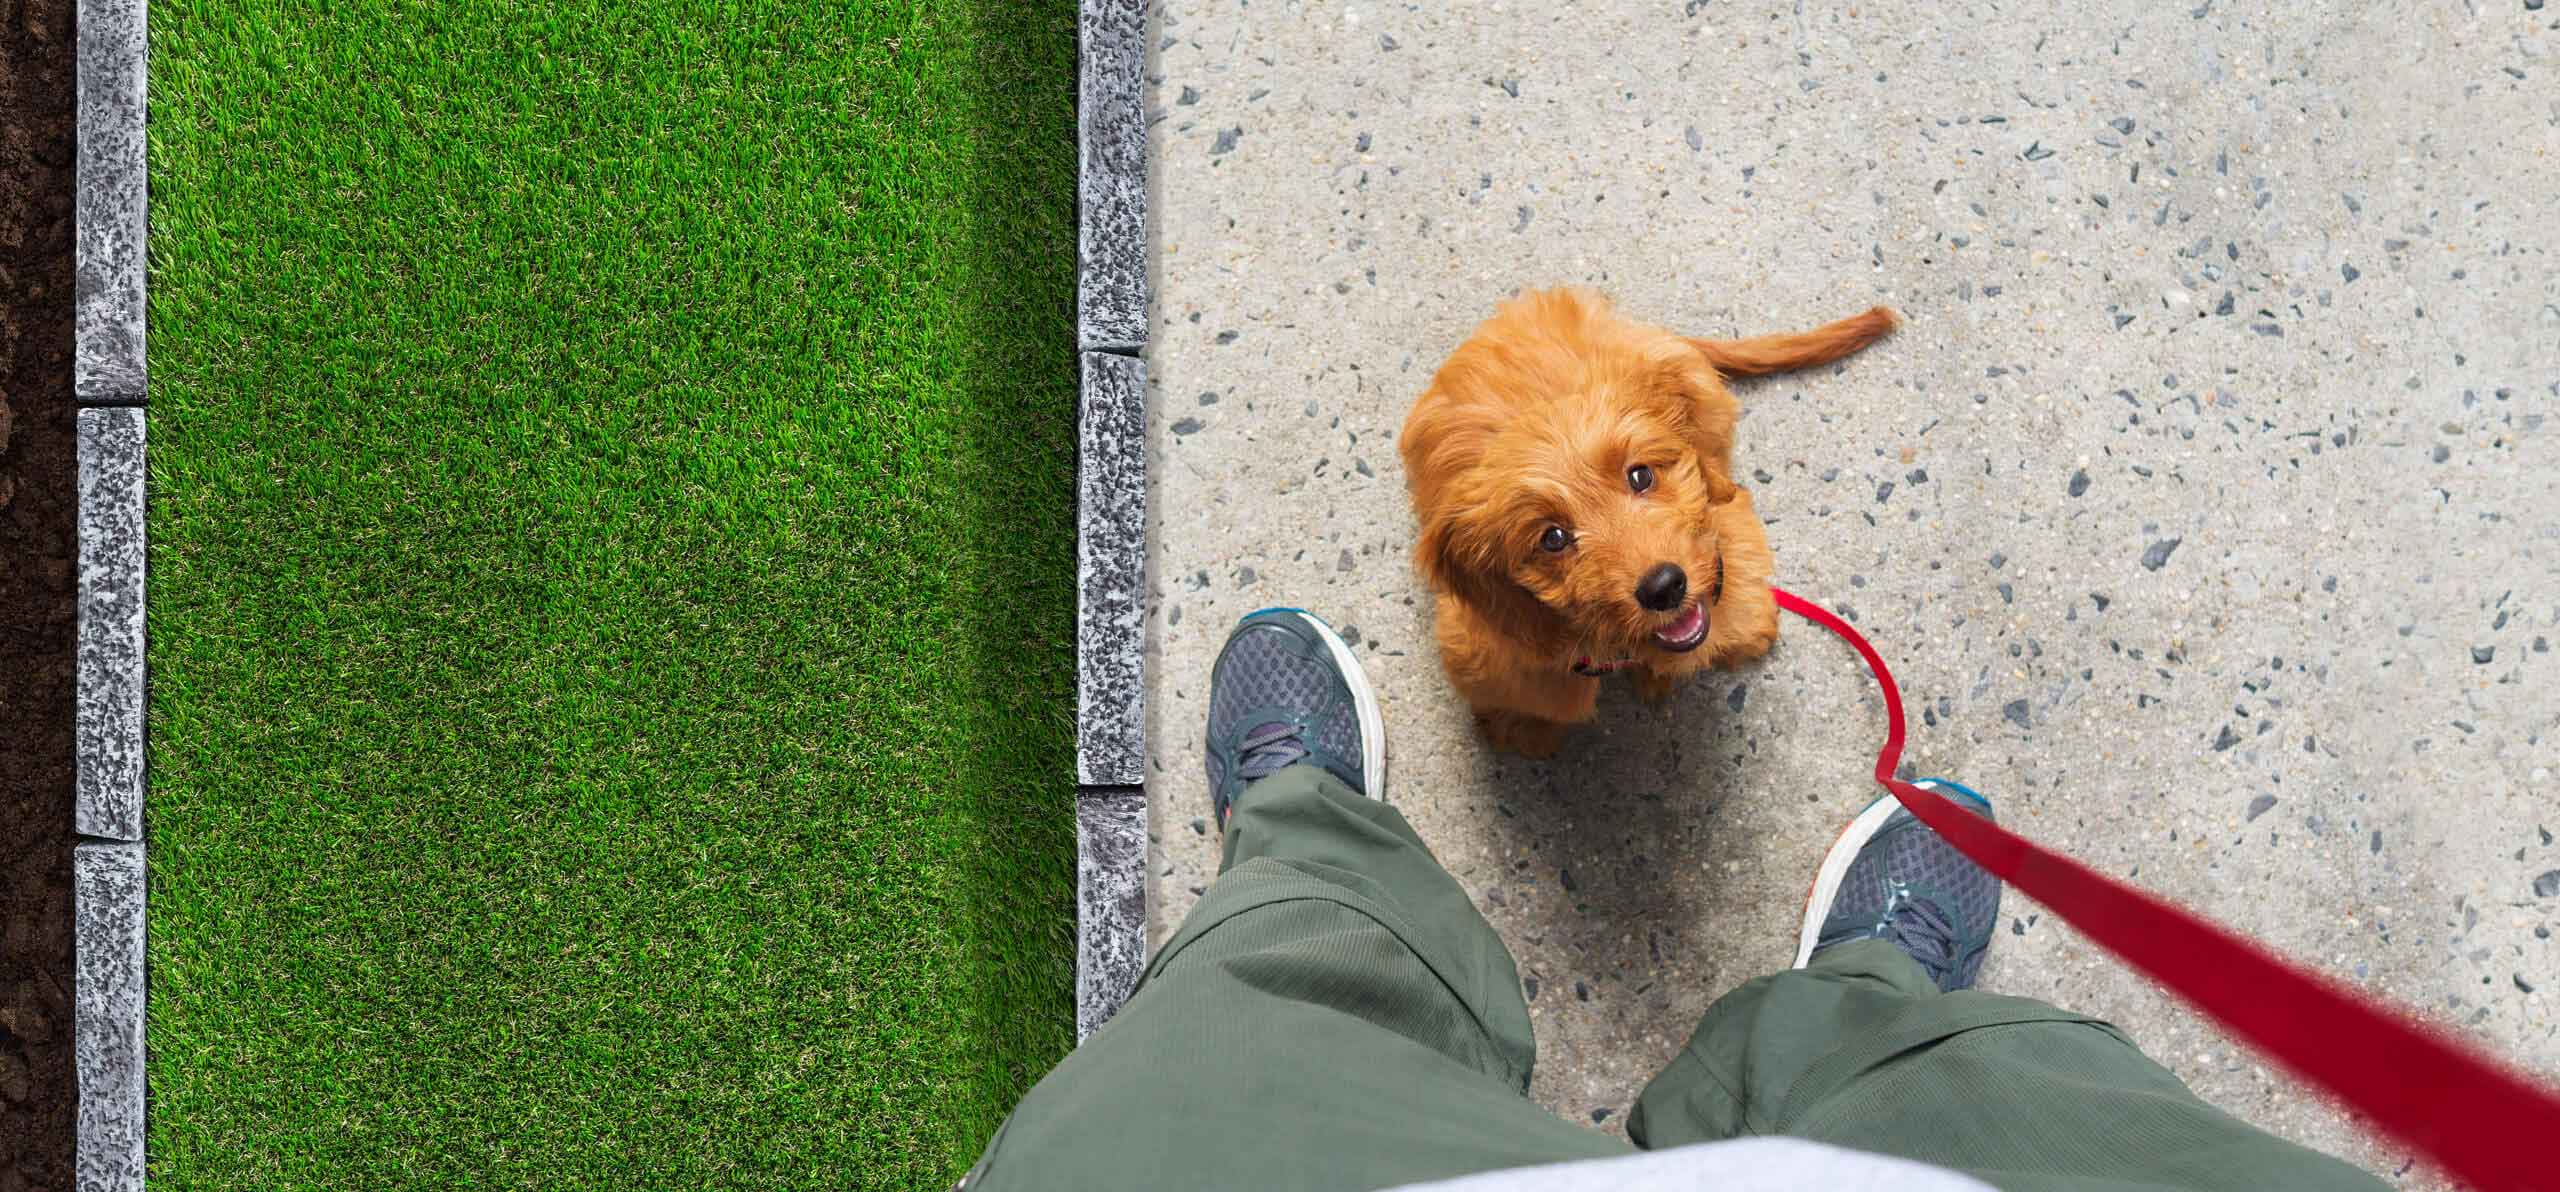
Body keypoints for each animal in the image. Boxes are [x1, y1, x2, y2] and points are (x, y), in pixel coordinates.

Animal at [1392, 289, 1894, 752]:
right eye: (1553, 538)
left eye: (1641, 475)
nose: (1664, 587)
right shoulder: (1492, 648)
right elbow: (1530, 697)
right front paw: (1521, 730)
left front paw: (1744, 634)